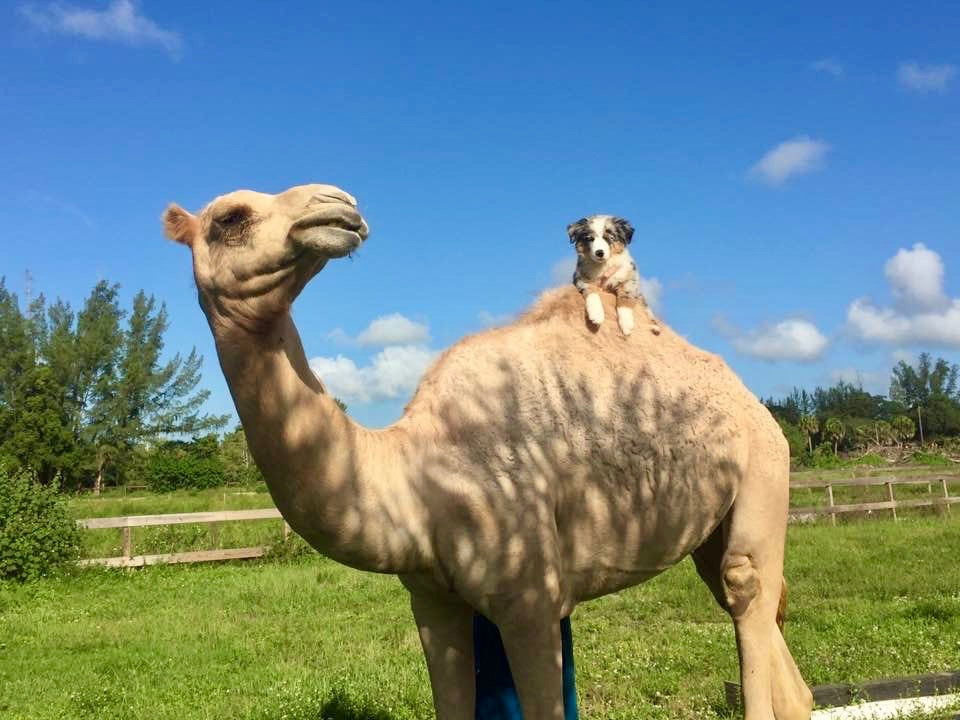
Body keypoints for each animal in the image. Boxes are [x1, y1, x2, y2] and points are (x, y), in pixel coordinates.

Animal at [162, 183, 813, 720]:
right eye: (231, 218)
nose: (338, 203)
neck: (415, 473)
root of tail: (755, 404)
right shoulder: (430, 599)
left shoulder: (532, 597)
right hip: (713, 520)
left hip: (765, 468)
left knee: (745, 585)